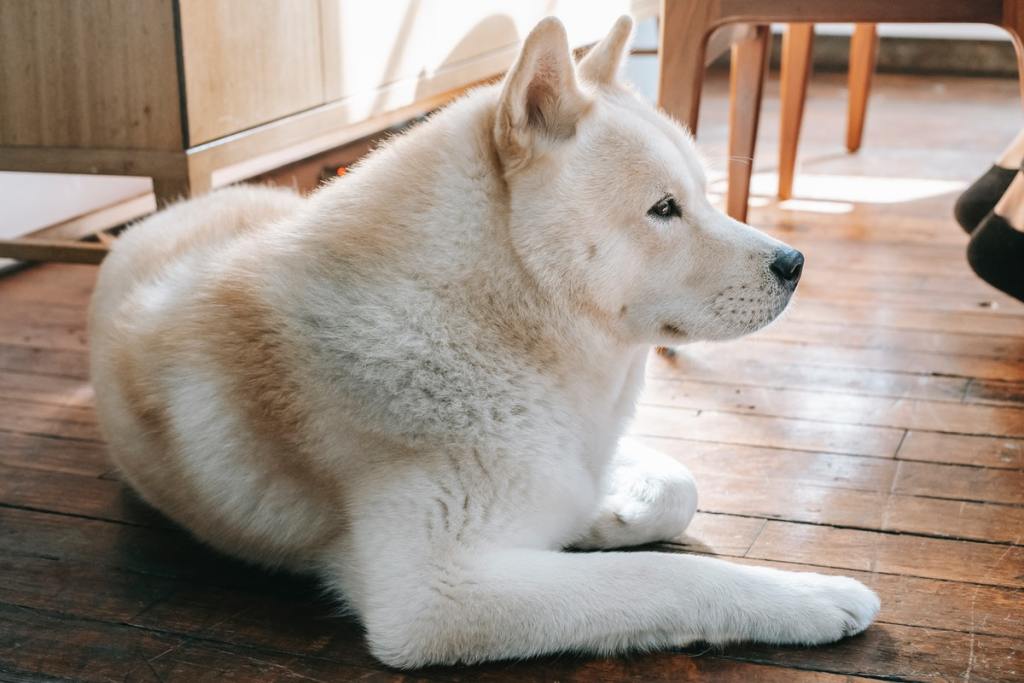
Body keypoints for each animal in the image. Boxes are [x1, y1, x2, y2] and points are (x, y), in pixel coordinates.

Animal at [90, 14, 880, 667]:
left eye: (706, 196)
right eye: (664, 208)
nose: (795, 264)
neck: (496, 322)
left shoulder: (570, 446)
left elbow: (675, 485)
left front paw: (606, 515)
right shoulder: (435, 597)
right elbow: (669, 572)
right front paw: (810, 598)